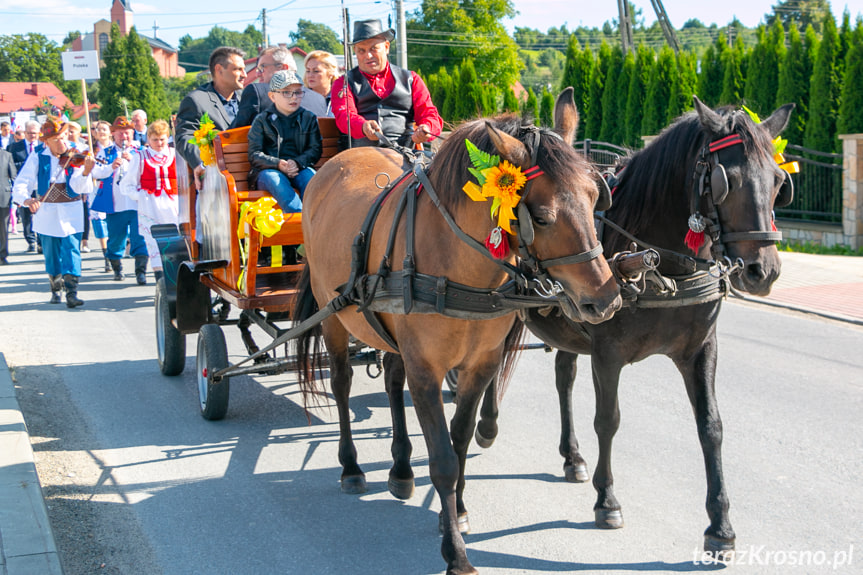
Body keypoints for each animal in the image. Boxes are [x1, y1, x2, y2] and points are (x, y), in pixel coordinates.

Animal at [296, 101, 620, 572]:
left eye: (595, 198)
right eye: (542, 217)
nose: (606, 299)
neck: (460, 265)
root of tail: (332, 166)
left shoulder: (480, 363)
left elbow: (461, 440)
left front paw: (459, 511)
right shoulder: (427, 371)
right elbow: (444, 459)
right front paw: (455, 552)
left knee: (392, 379)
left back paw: (400, 469)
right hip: (333, 318)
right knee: (340, 385)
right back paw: (352, 467)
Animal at [472, 97, 796, 560]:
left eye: (778, 181)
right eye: (726, 181)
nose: (762, 271)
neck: (661, 264)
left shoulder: (701, 349)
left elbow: (711, 427)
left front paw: (720, 525)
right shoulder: (608, 354)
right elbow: (608, 420)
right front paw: (607, 500)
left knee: (563, 377)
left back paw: (571, 456)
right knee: (494, 363)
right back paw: (487, 425)